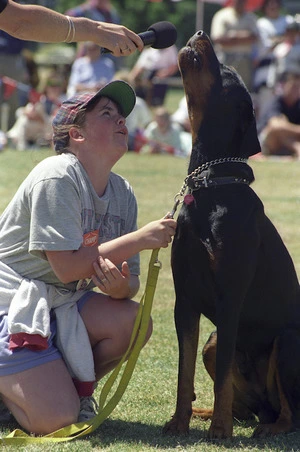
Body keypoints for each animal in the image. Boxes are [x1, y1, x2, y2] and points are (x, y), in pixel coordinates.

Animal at [163, 30, 300, 438]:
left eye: (226, 72)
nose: (200, 33)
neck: (211, 186)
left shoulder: (229, 298)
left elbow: (222, 374)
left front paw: (219, 432)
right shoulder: (185, 299)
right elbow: (185, 371)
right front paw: (180, 422)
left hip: (289, 340)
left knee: (290, 415)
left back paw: (265, 428)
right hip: (215, 342)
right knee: (251, 408)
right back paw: (208, 413)